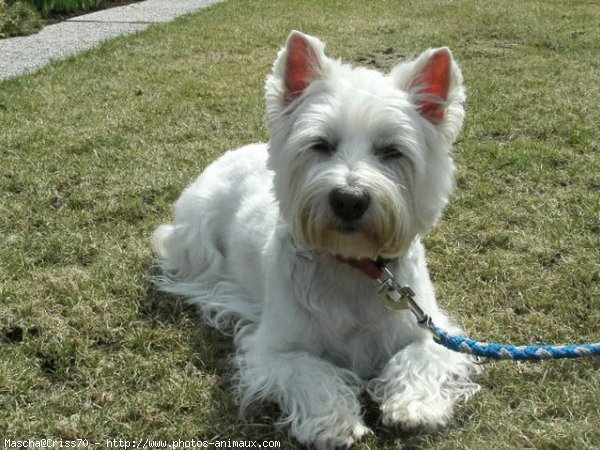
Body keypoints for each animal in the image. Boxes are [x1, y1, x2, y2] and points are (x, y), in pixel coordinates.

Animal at [152, 30, 480, 446]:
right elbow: (312, 373)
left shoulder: (428, 330)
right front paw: (334, 422)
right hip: (197, 242)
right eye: (321, 144)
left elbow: (417, 357)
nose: (349, 199)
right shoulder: (275, 351)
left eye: (392, 151)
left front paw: (414, 407)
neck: (352, 267)